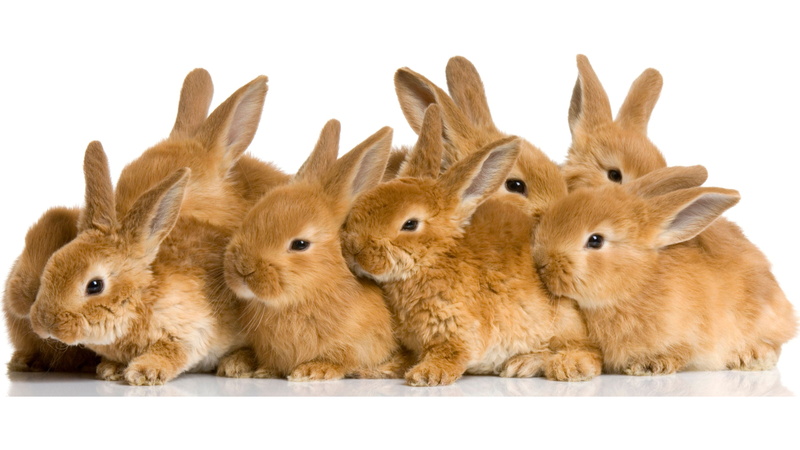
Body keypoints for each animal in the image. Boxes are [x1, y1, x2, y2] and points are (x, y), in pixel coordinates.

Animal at [29, 142, 247, 385]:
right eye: (52, 263)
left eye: (94, 285)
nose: (44, 323)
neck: (141, 301)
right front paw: (110, 369)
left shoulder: (190, 332)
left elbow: (171, 352)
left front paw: (143, 372)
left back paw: (235, 365)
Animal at [220, 120, 402, 382]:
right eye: (250, 216)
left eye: (300, 244)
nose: (243, 269)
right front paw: (248, 367)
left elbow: (343, 361)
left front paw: (313, 370)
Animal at [341, 105, 601, 387]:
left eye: (410, 224)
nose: (354, 250)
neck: (434, 260)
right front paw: (374, 370)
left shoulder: (456, 329)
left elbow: (451, 353)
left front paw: (427, 375)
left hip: (563, 322)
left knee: (588, 353)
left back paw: (546, 365)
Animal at [532, 165, 797, 375]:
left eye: (595, 241)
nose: (541, 262)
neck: (637, 282)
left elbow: (681, 351)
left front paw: (650, 365)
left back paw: (751, 358)